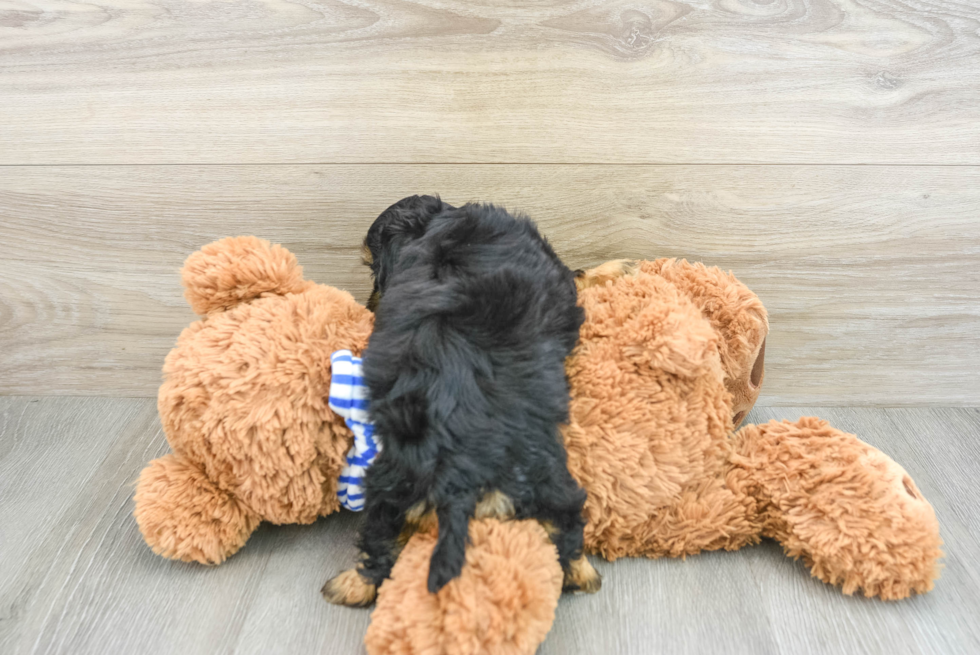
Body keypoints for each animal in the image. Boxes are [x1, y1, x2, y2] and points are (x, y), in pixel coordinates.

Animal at [324, 195, 596, 604]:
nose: (371, 303)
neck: (435, 223)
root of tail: (459, 474)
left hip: (396, 480)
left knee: (380, 535)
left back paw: (350, 585)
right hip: (542, 470)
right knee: (568, 519)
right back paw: (582, 573)